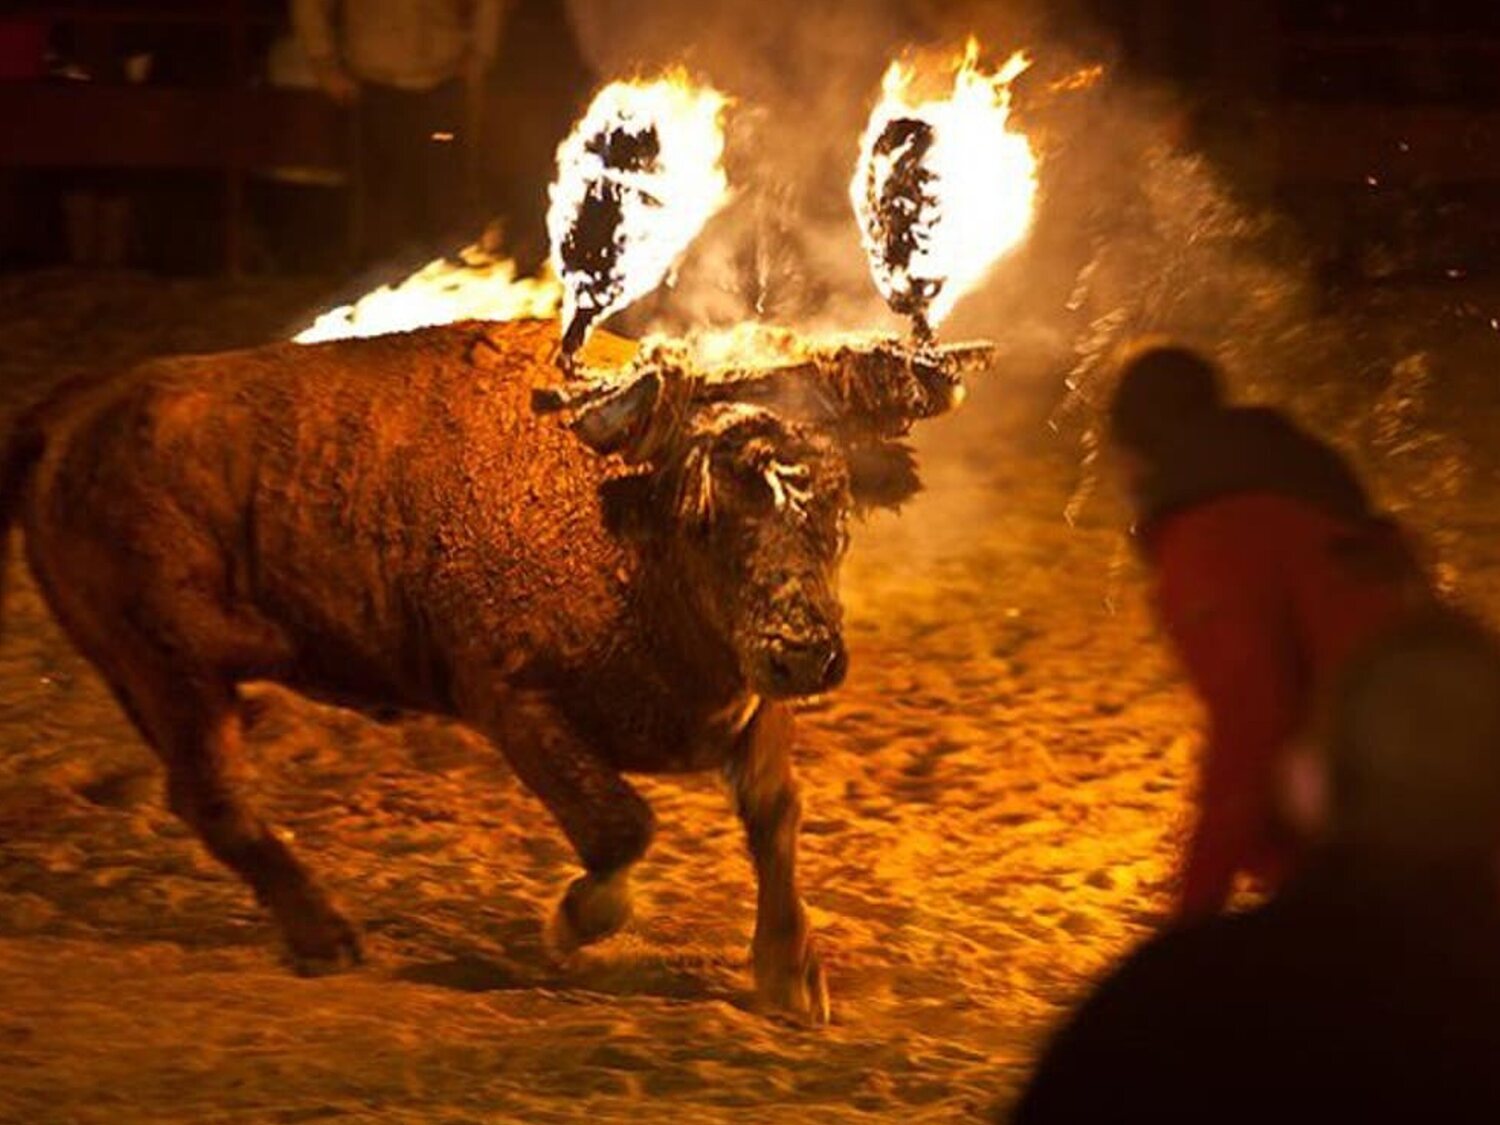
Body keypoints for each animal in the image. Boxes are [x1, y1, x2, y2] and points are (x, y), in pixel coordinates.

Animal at [0, 321, 978, 1026]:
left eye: (838, 499)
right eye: (707, 512)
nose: (804, 649)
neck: (625, 516)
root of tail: (80, 409)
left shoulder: (746, 705)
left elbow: (775, 816)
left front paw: (790, 976)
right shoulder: (512, 701)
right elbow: (622, 825)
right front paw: (571, 923)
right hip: (172, 672)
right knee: (215, 797)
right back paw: (329, 937)